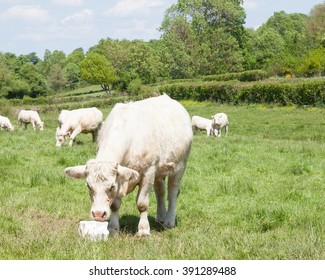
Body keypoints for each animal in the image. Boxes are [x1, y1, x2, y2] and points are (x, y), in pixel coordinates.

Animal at [65, 94, 192, 236]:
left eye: (111, 186)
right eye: (88, 185)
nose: (98, 214)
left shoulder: (148, 171)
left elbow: (142, 203)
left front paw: (143, 230)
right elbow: (115, 205)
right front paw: (113, 228)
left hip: (180, 166)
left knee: (172, 192)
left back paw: (169, 221)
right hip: (159, 171)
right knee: (160, 191)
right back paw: (161, 217)